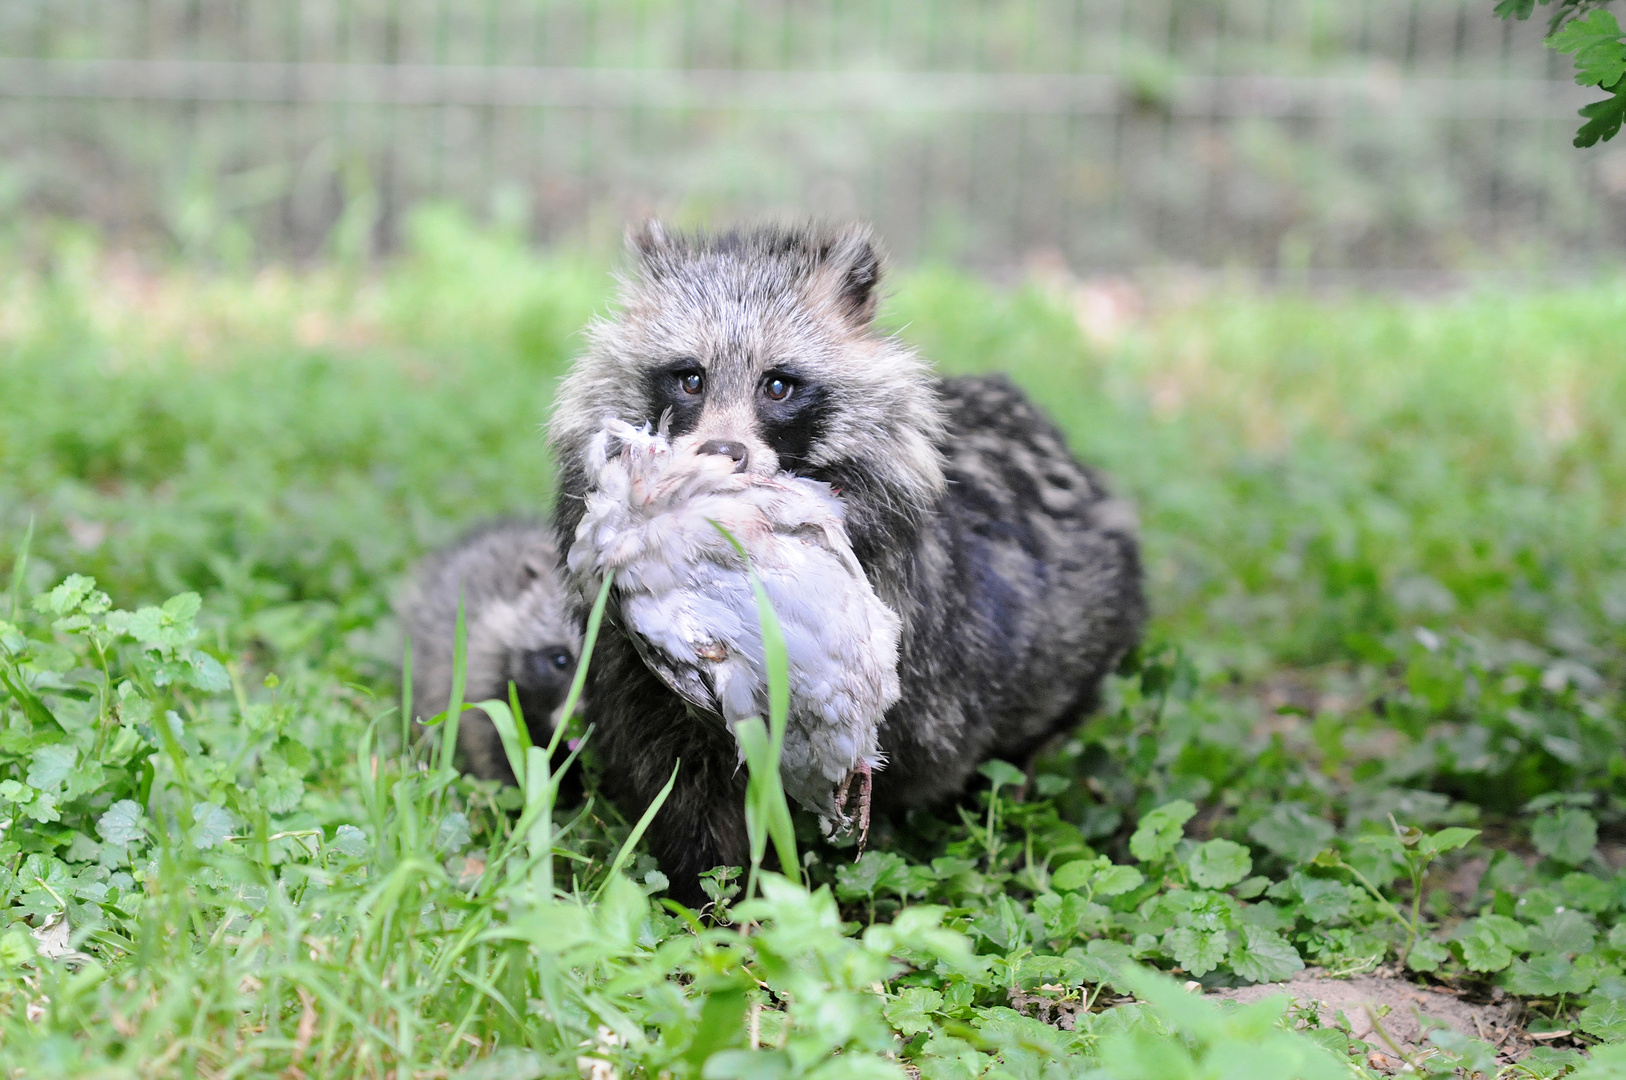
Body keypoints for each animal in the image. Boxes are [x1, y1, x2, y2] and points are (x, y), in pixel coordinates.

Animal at [549, 221, 1144, 904]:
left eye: (778, 385)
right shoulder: (635, 676)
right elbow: (683, 795)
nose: (723, 454)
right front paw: (711, 901)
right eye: (689, 379)